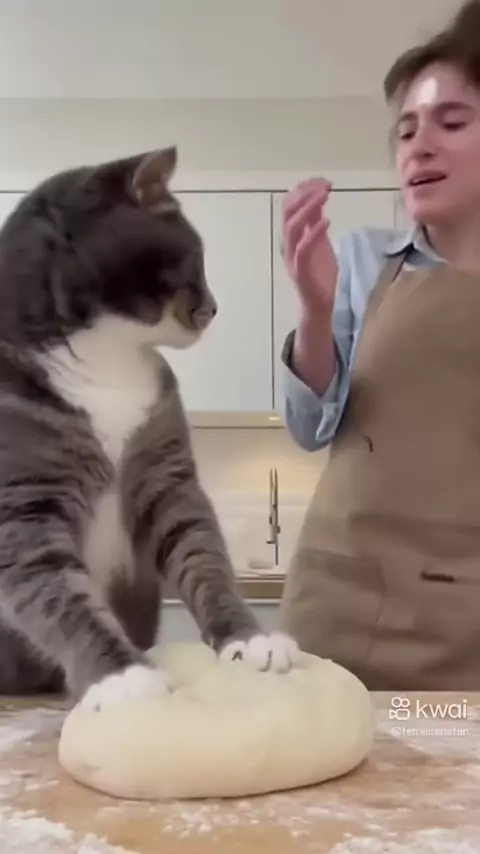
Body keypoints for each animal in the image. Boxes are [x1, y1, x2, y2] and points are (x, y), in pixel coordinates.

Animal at [0, 147, 300, 712]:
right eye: (195, 254)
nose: (215, 308)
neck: (107, 357)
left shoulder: (168, 476)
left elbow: (204, 559)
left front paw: (250, 641)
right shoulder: (23, 507)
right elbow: (62, 598)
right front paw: (123, 676)